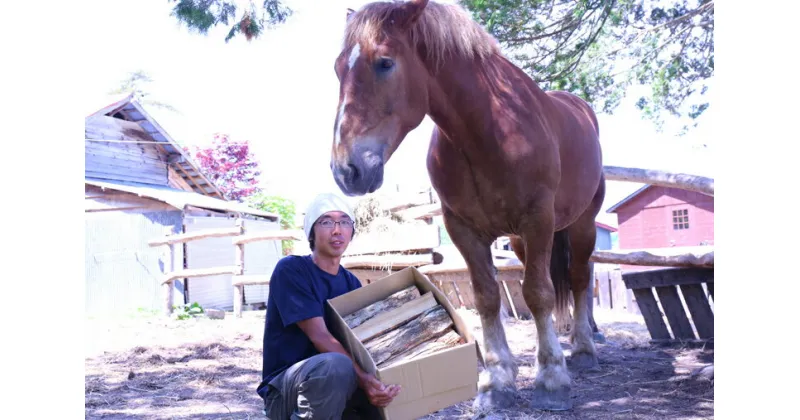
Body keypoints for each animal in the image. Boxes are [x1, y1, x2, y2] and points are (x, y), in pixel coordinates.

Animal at [326, 0, 608, 412]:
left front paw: (551, 378)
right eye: (338, 68)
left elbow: (538, 293)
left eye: (385, 63)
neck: (487, 132)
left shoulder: (538, 220)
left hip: (581, 224)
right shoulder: (463, 228)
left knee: (579, 277)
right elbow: (488, 297)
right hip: (521, 242)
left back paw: (584, 348)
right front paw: (497, 380)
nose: (347, 170)